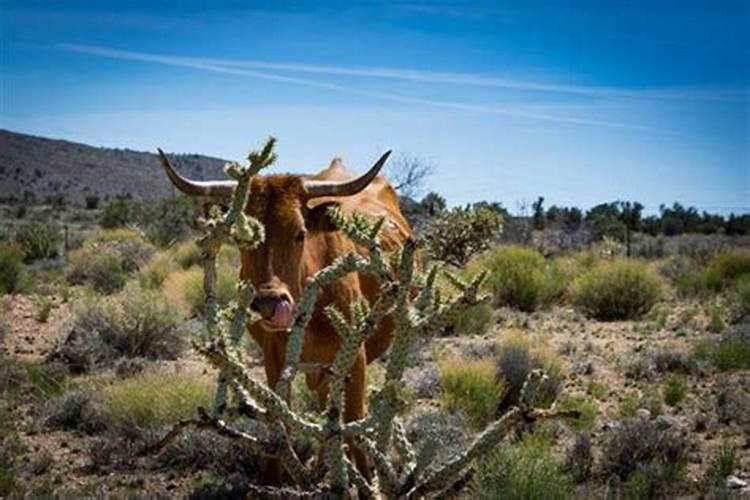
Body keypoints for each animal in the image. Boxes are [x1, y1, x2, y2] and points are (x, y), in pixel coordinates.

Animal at [159, 150, 414, 478]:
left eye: (300, 233)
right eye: (242, 237)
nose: (270, 303)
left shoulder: (354, 354)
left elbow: (354, 422)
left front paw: (368, 478)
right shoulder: (274, 355)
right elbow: (279, 418)